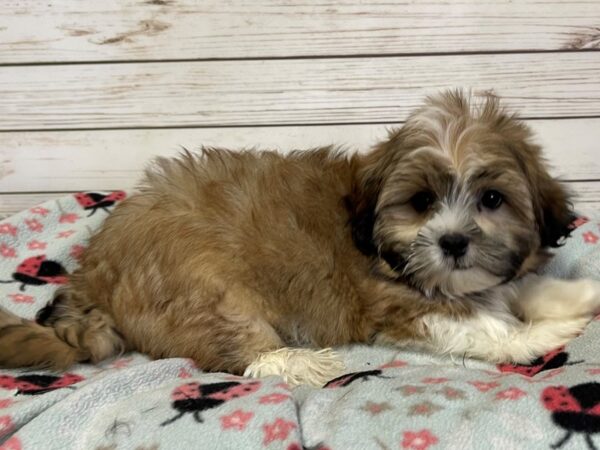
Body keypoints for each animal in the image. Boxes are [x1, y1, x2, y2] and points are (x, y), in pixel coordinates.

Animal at [1, 91, 600, 386]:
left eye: (492, 199)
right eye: (421, 202)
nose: (453, 243)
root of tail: (95, 270)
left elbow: (519, 289)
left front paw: (577, 295)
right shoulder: (398, 303)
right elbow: (485, 328)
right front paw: (541, 336)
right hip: (205, 290)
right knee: (240, 352)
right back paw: (301, 363)